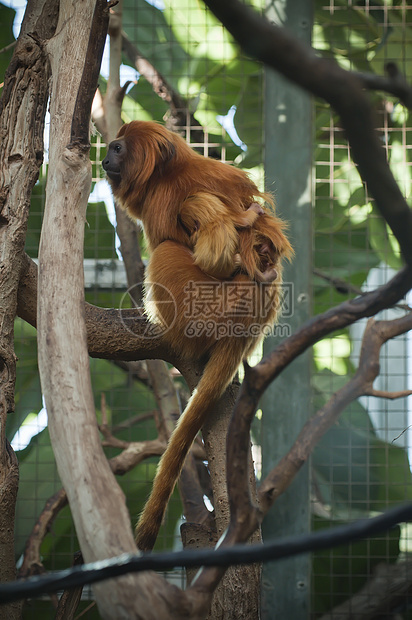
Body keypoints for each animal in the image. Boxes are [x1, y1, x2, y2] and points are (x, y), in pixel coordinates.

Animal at [102, 122, 292, 552]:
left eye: (117, 149)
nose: (103, 160)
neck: (164, 171)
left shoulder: (161, 202)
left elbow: (169, 238)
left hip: (204, 304)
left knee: (168, 252)